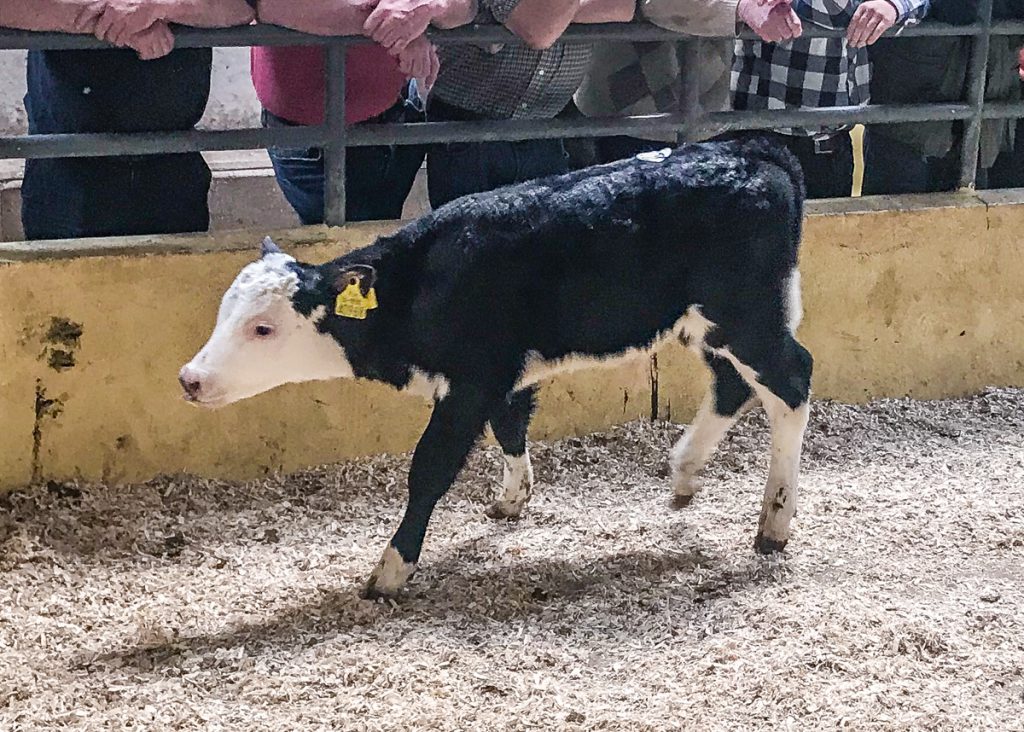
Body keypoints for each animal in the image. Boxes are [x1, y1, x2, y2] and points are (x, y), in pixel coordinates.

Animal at [179, 134, 813, 599]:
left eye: (263, 328)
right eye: (224, 313)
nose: (190, 379)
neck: (421, 282)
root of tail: (753, 149)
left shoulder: (471, 381)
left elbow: (430, 468)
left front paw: (391, 570)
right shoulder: (501, 375)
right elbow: (510, 427)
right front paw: (512, 498)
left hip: (746, 316)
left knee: (792, 380)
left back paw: (774, 521)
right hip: (709, 325)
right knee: (732, 384)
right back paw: (684, 470)